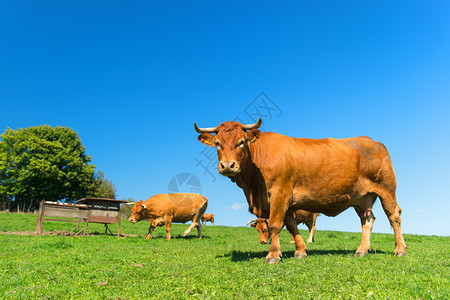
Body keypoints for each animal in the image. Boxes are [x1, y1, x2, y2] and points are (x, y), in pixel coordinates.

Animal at [195, 118, 406, 264]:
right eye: (217, 144)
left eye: (241, 142)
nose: (227, 165)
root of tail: (371, 141)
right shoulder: (286, 202)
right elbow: (291, 226)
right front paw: (300, 251)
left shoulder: (279, 193)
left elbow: (275, 225)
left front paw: (273, 255)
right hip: (361, 198)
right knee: (367, 220)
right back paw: (362, 250)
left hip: (386, 189)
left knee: (394, 216)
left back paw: (400, 249)